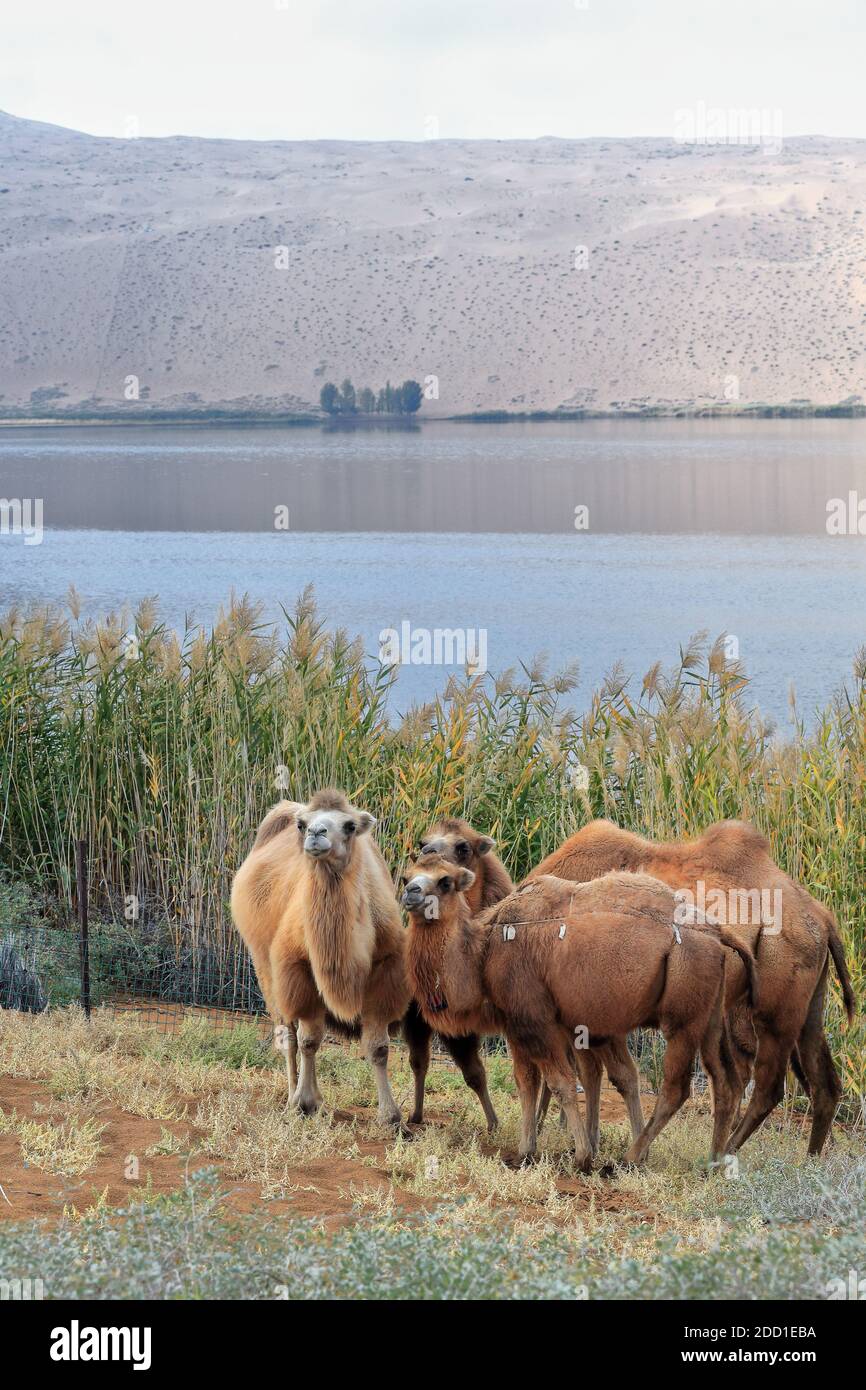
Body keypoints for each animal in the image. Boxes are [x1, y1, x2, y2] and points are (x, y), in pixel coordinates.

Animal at [232, 795, 411, 1128]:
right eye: (303, 825)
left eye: (350, 825)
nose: (316, 833)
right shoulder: (297, 969)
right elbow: (308, 1041)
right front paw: (302, 1103)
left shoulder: (385, 973)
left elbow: (378, 1047)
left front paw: (392, 1117)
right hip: (265, 966)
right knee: (288, 1035)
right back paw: (293, 1095)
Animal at [400, 861, 750, 1167]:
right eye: (407, 875)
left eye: (445, 881)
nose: (410, 893)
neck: (486, 951)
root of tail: (716, 933)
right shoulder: (518, 1023)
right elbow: (527, 1082)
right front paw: (525, 1152)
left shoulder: (538, 1020)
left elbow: (561, 1082)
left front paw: (582, 1156)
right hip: (711, 1015)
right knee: (725, 1082)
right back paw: (713, 1162)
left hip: (683, 1016)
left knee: (677, 1087)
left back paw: (631, 1157)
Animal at [525, 817, 856, 1156]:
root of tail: (824, 920)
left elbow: (584, 1068)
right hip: (808, 1000)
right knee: (823, 1081)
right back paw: (809, 1159)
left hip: (775, 1008)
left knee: (769, 1085)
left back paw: (724, 1151)